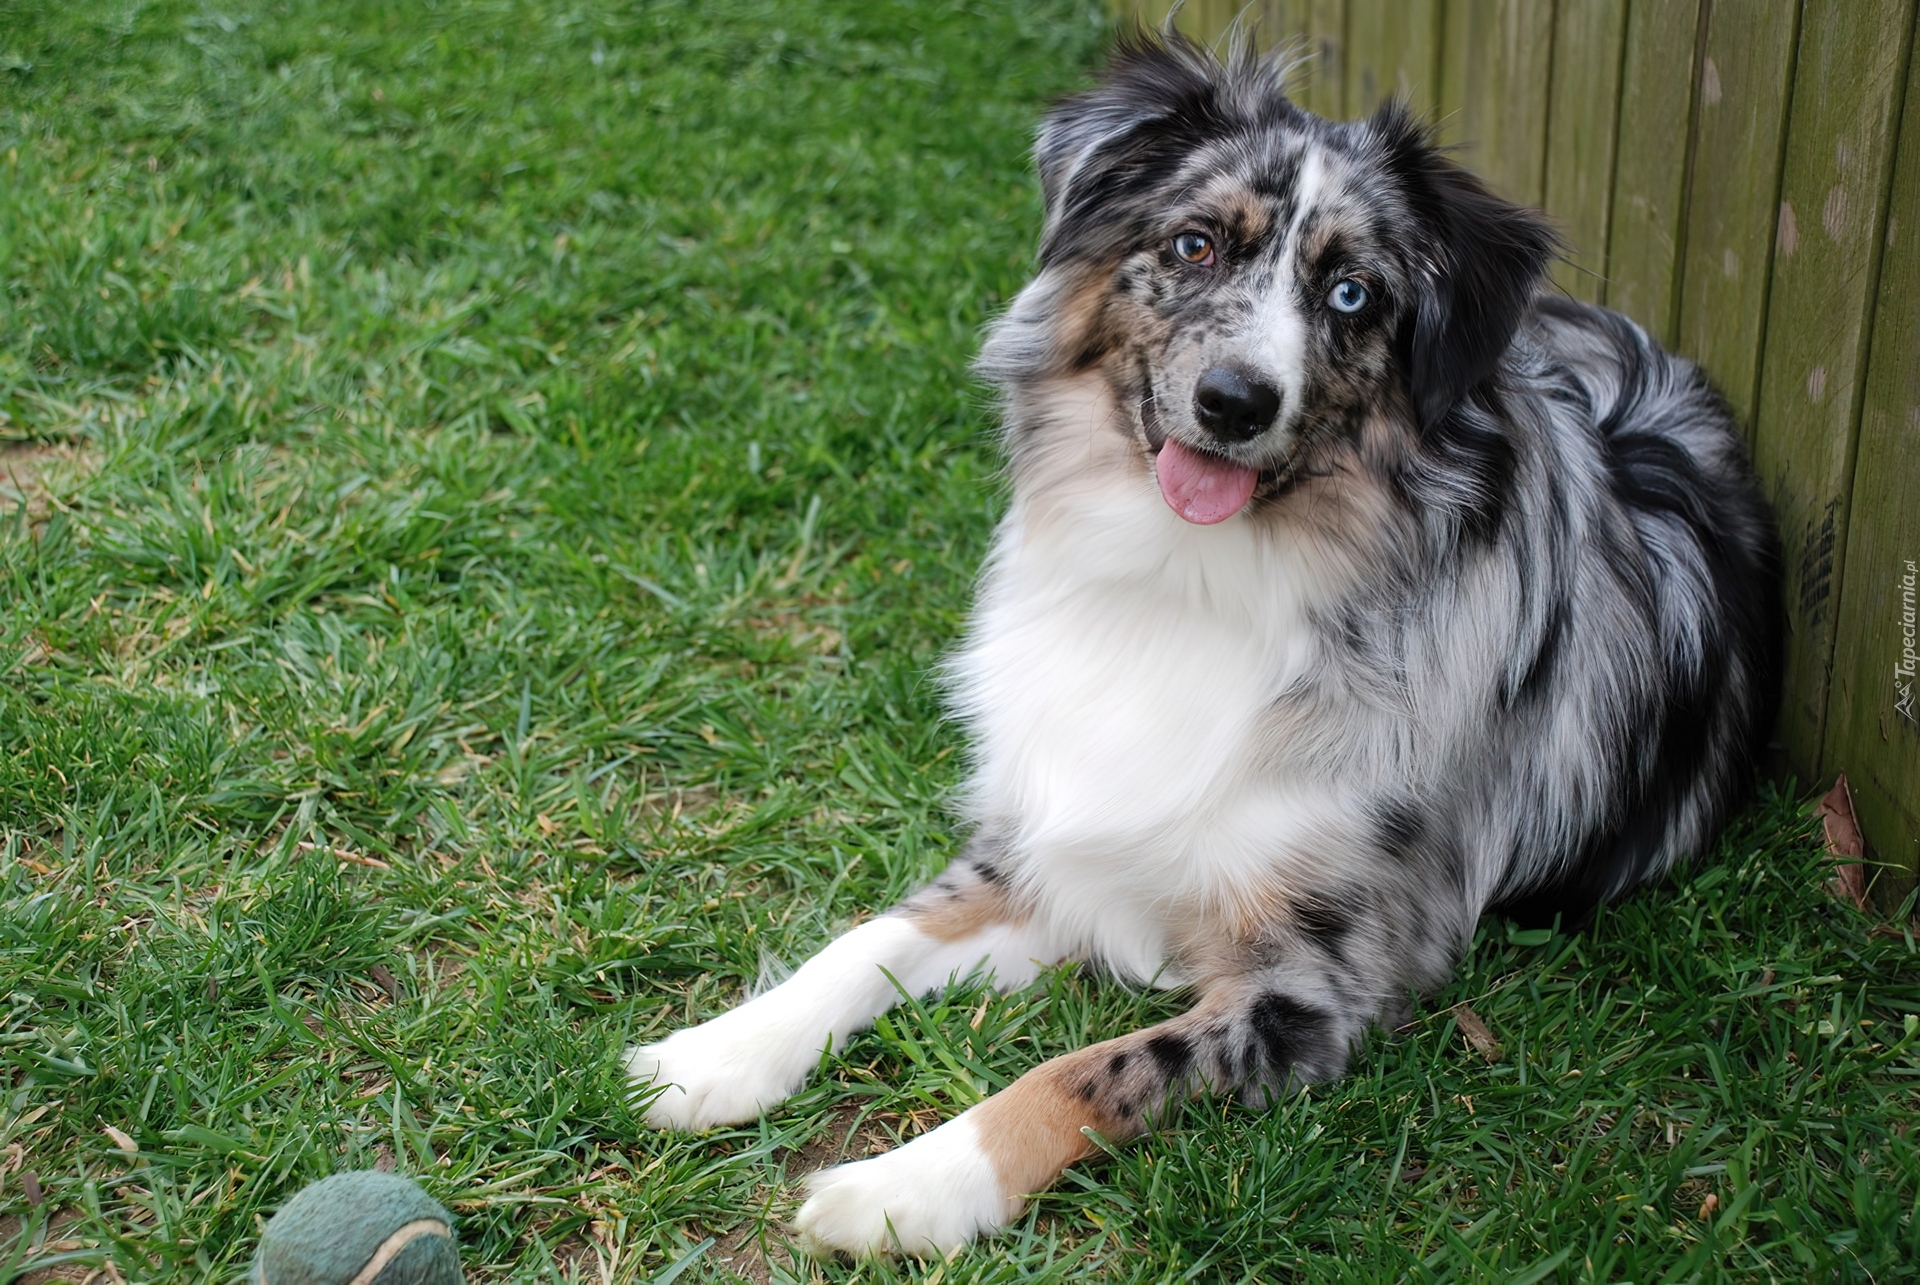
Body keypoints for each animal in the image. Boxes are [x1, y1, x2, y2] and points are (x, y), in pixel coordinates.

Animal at [622, 27, 1774, 1252]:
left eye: (1353, 294)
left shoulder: (1313, 987)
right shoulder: (1057, 846)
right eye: (1195, 242)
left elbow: (1084, 1071)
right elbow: (867, 941)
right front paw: (716, 1053)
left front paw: (907, 1187)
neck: (1191, 579)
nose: (1234, 400)